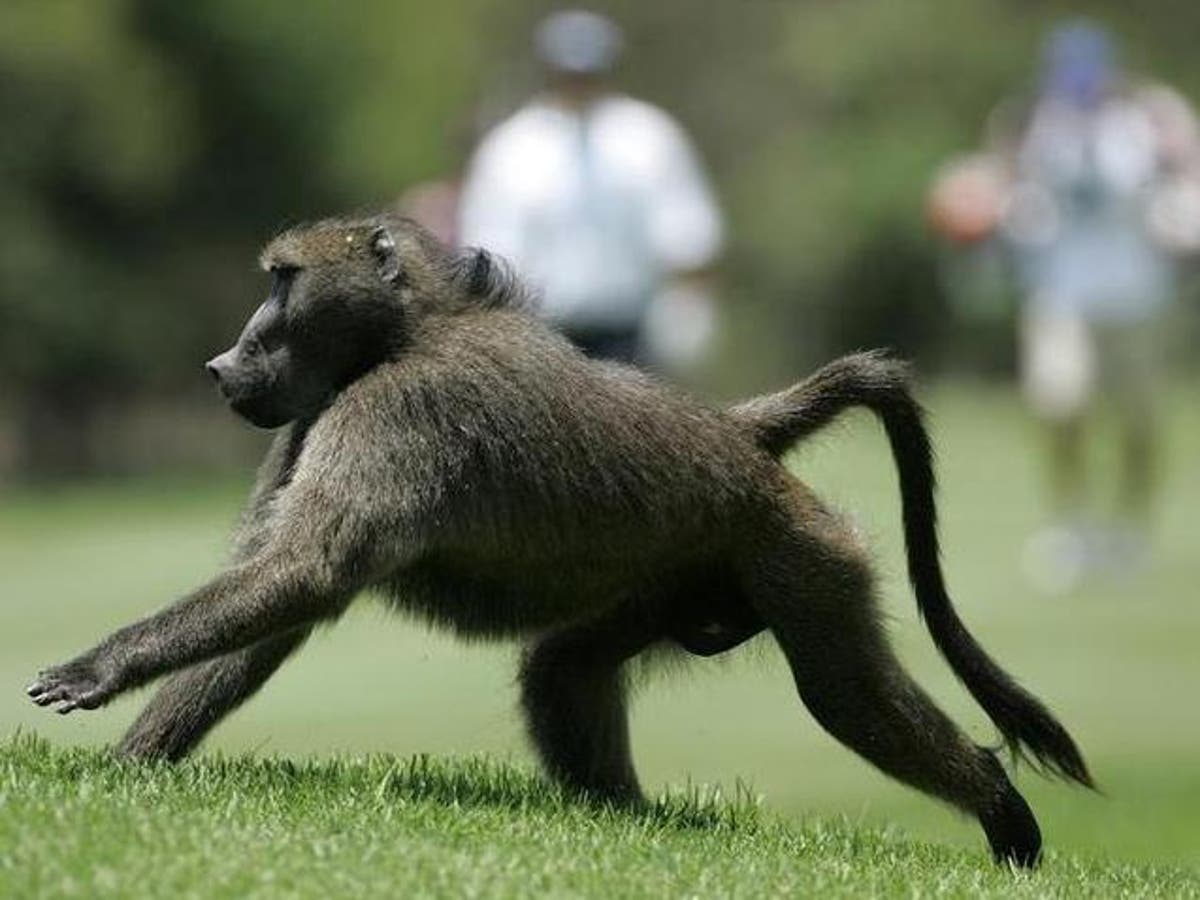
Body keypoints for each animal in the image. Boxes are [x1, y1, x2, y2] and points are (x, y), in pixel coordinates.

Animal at [27, 212, 1092, 867]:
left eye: (283, 282)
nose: (222, 364)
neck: (414, 329)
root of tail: (738, 441)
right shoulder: (309, 421)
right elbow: (272, 602)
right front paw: (125, 773)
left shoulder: (395, 411)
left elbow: (304, 574)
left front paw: (96, 671)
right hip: (680, 581)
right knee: (563, 668)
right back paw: (628, 822)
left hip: (802, 555)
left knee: (844, 697)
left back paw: (1005, 816)